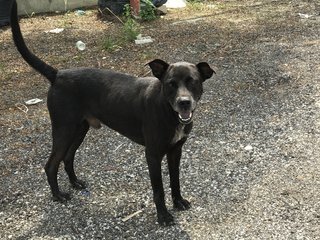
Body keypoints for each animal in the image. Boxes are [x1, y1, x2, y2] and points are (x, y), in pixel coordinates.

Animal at [10, 0, 215, 225]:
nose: (184, 103)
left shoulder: (175, 151)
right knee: (51, 164)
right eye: (171, 84)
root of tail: (57, 74)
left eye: (192, 82)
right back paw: (58, 195)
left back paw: (75, 183)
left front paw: (178, 202)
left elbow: (175, 180)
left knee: (68, 157)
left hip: (79, 129)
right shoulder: (152, 154)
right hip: (63, 129)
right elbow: (158, 189)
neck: (167, 111)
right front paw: (163, 216)